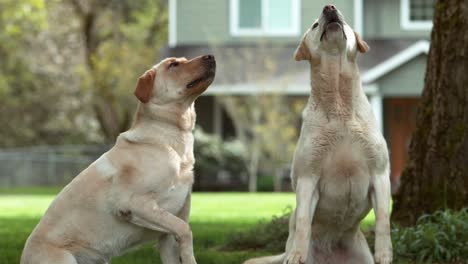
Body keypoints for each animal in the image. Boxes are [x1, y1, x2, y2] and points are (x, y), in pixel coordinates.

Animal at [21, 54, 217, 262]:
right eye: (174, 65)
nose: (210, 56)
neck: (171, 137)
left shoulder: (167, 235)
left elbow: (181, 234)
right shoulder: (132, 203)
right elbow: (185, 229)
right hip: (65, 258)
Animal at [243, 4, 394, 264]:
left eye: (344, 20)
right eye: (314, 25)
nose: (329, 8)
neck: (339, 104)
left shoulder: (380, 173)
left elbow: (384, 218)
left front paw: (385, 254)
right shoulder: (308, 178)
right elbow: (303, 220)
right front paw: (296, 255)